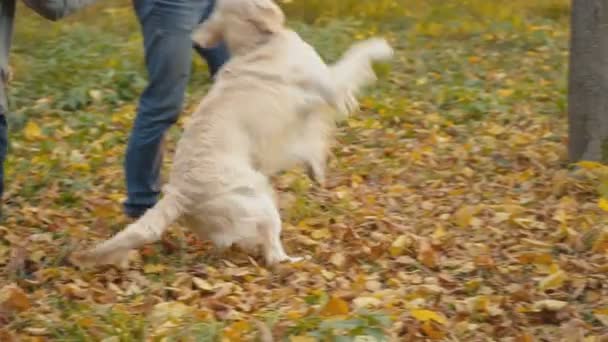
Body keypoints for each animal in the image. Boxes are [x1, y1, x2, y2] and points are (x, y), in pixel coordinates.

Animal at [72, 0, 394, 268]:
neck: (256, 44)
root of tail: (179, 195)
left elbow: (311, 144)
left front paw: (316, 170)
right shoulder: (327, 87)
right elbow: (355, 58)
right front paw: (380, 47)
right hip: (262, 203)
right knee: (273, 255)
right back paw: (295, 260)